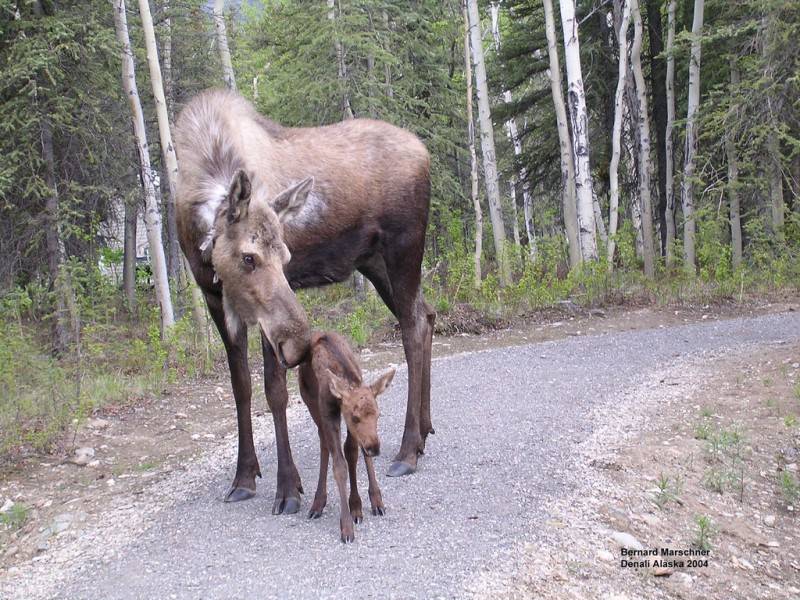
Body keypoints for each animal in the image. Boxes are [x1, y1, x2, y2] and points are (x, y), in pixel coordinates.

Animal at [176, 91, 434, 512]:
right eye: (249, 258)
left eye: (286, 257)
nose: (299, 341)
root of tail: (425, 152)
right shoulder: (213, 296)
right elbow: (241, 388)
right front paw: (244, 475)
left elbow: (274, 390)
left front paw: (288, 486)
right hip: (373, 262)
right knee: (426, 315)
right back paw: (425, 431)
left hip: (403, 247)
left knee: (412, 328)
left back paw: (407, 449)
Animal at [298, 330, 396, 540]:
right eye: (355, 417)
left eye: (378, 415)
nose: (375, 448)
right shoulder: (331, 414)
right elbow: (340, 465)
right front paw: (347, 525)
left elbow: (352, 452)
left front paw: (361, 505)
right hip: (311, 402)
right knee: (324, 442)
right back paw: (318, 502)